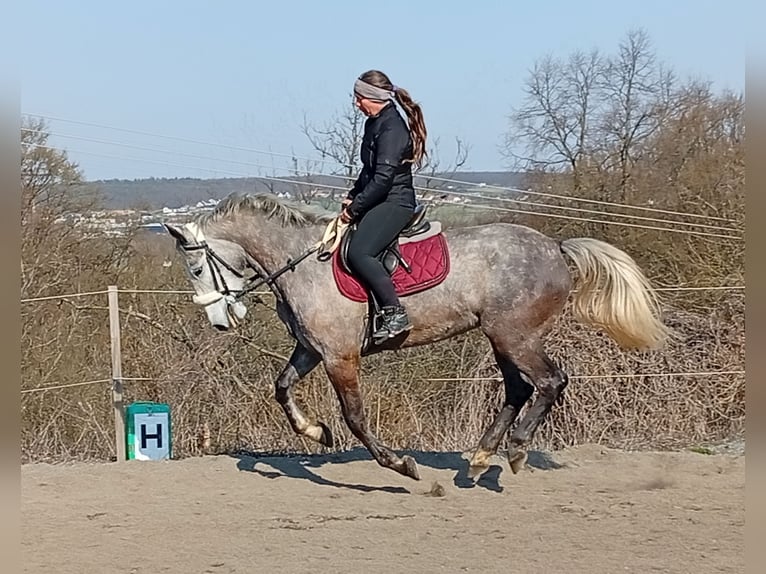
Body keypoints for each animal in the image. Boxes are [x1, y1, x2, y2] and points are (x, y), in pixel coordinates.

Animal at [164, 192, 669, 481]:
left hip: (516, 336)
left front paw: (399, 465)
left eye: (195, 268)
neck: (301, 260)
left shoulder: (340, 356)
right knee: (518, 389)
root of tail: (556, 248)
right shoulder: (312, 349)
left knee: (549, 383)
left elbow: (355, 417)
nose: (220, 322)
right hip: (502, 337)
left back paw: (515, 450)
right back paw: (481, 458)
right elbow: (282, 388)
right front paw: (315, 432)